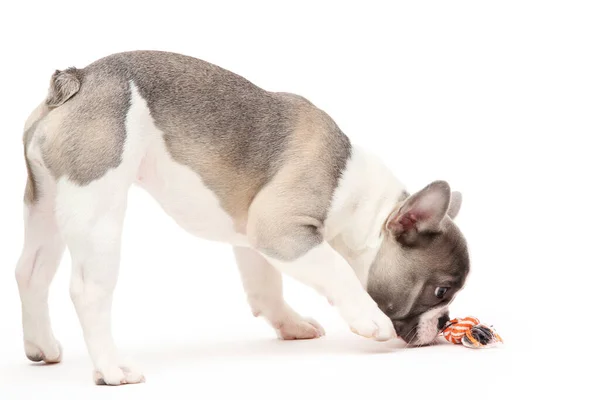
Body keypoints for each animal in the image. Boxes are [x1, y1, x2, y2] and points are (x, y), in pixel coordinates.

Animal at [15, 50, 468, 384]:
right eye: (441, 292)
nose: (446, 321)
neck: (363, 203)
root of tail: (80, 78)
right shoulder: (279, 228)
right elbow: (336, 269)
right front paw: (369, 318)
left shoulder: (253, 237)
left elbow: (265, 286)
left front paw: (290, 324)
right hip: (97, 205)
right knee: (87, 291)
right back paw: (112, 369)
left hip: (47, 202)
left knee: (31, 272)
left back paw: (42, 347)